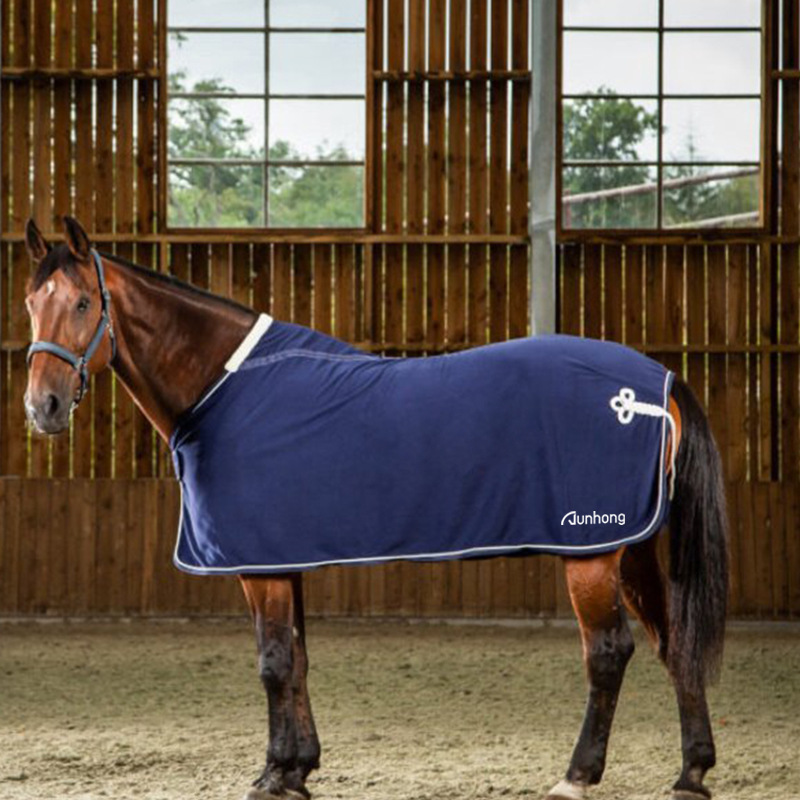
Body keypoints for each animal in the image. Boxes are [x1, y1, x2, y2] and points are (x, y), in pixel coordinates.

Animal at [22, 216, 728, 800]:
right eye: (32, 304)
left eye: (83, 302)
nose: (42, 408)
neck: (223, 386)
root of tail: (656, 383)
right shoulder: (283, 559)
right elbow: (298, 658)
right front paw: (296, 768)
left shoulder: (259, 567)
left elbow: (273, 663)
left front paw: (274, 777)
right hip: (631, 547)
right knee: (673, 644)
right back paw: (691, 772)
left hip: (591, 552)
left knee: (608, 652)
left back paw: (577, 776)